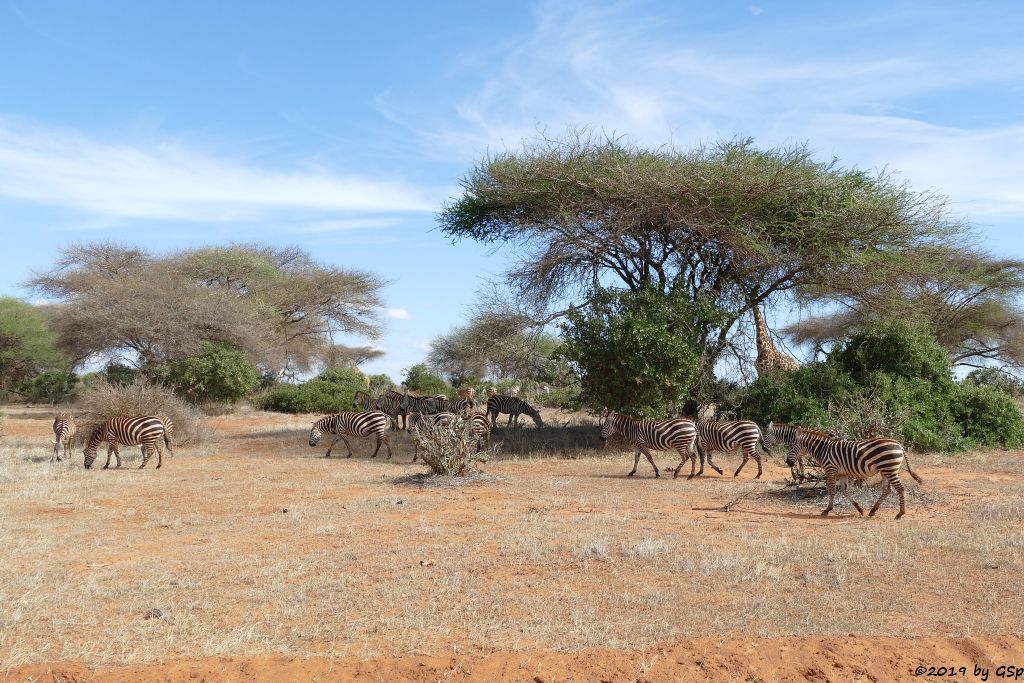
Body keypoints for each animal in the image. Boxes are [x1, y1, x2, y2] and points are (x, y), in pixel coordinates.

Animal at [786, 430, 925, 520]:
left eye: (791, 447)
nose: (788, 462)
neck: (823, 450)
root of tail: (899, 445)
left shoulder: (831, 470)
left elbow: (832, 490)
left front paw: (827, 510)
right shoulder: (842, 473)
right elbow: (844, 490)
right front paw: (859, 509)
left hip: (890, 468)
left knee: (900, 488)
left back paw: (900, 513)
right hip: (885, 470)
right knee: (887, 490)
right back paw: (873, 511)